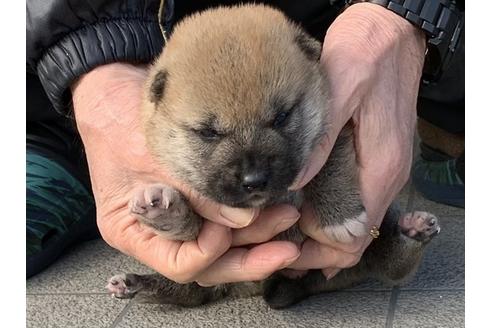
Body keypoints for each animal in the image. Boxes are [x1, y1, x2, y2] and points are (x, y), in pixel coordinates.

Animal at [106, 3, 438, 308]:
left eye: (281, 117)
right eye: (209, 132)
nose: (254, 180)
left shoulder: (335, 127)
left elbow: (329, 164)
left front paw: (340, 217)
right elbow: (189, 228)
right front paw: (162, 210)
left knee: (394, 265)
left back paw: (414, 231)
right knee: (188, 291)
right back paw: (135, 284)